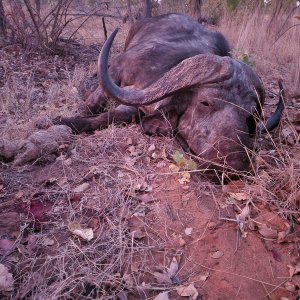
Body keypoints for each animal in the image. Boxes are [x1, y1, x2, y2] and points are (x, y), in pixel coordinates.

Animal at [54, 3, 286, 173]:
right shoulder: (119, 67)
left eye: (250, 115)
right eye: (205, 103)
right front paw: (64, 121)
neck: (164, 68)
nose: (235, 163)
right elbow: (92, 106)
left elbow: (114, 115)